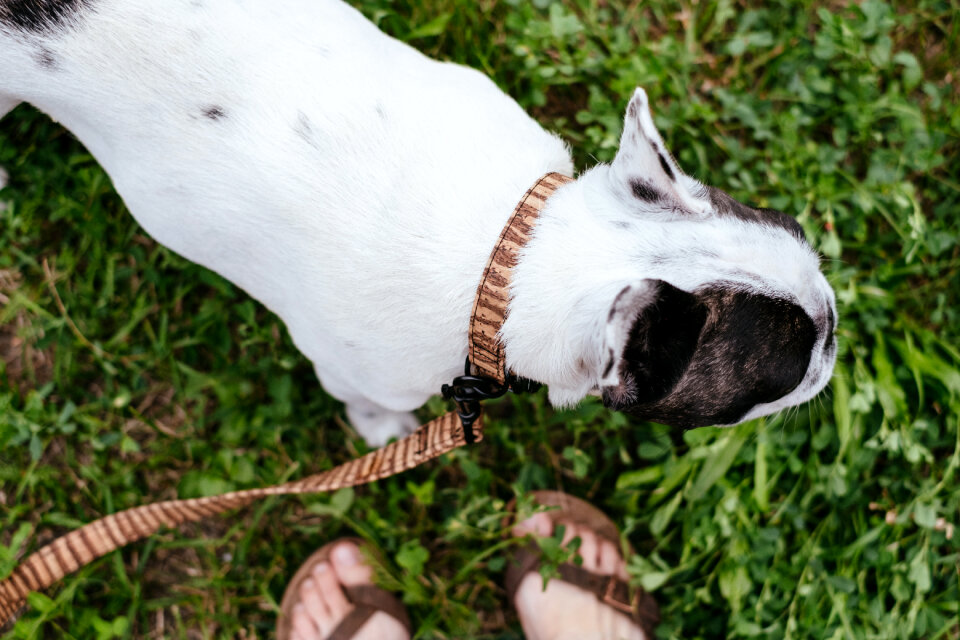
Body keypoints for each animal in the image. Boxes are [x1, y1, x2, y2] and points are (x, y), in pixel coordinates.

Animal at [0, 0, 836, 444]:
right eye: (782, 373)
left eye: (798, 230)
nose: (835, 326)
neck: (512, 254)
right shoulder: (354, 366)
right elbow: (373, 404)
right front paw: (381, 433)